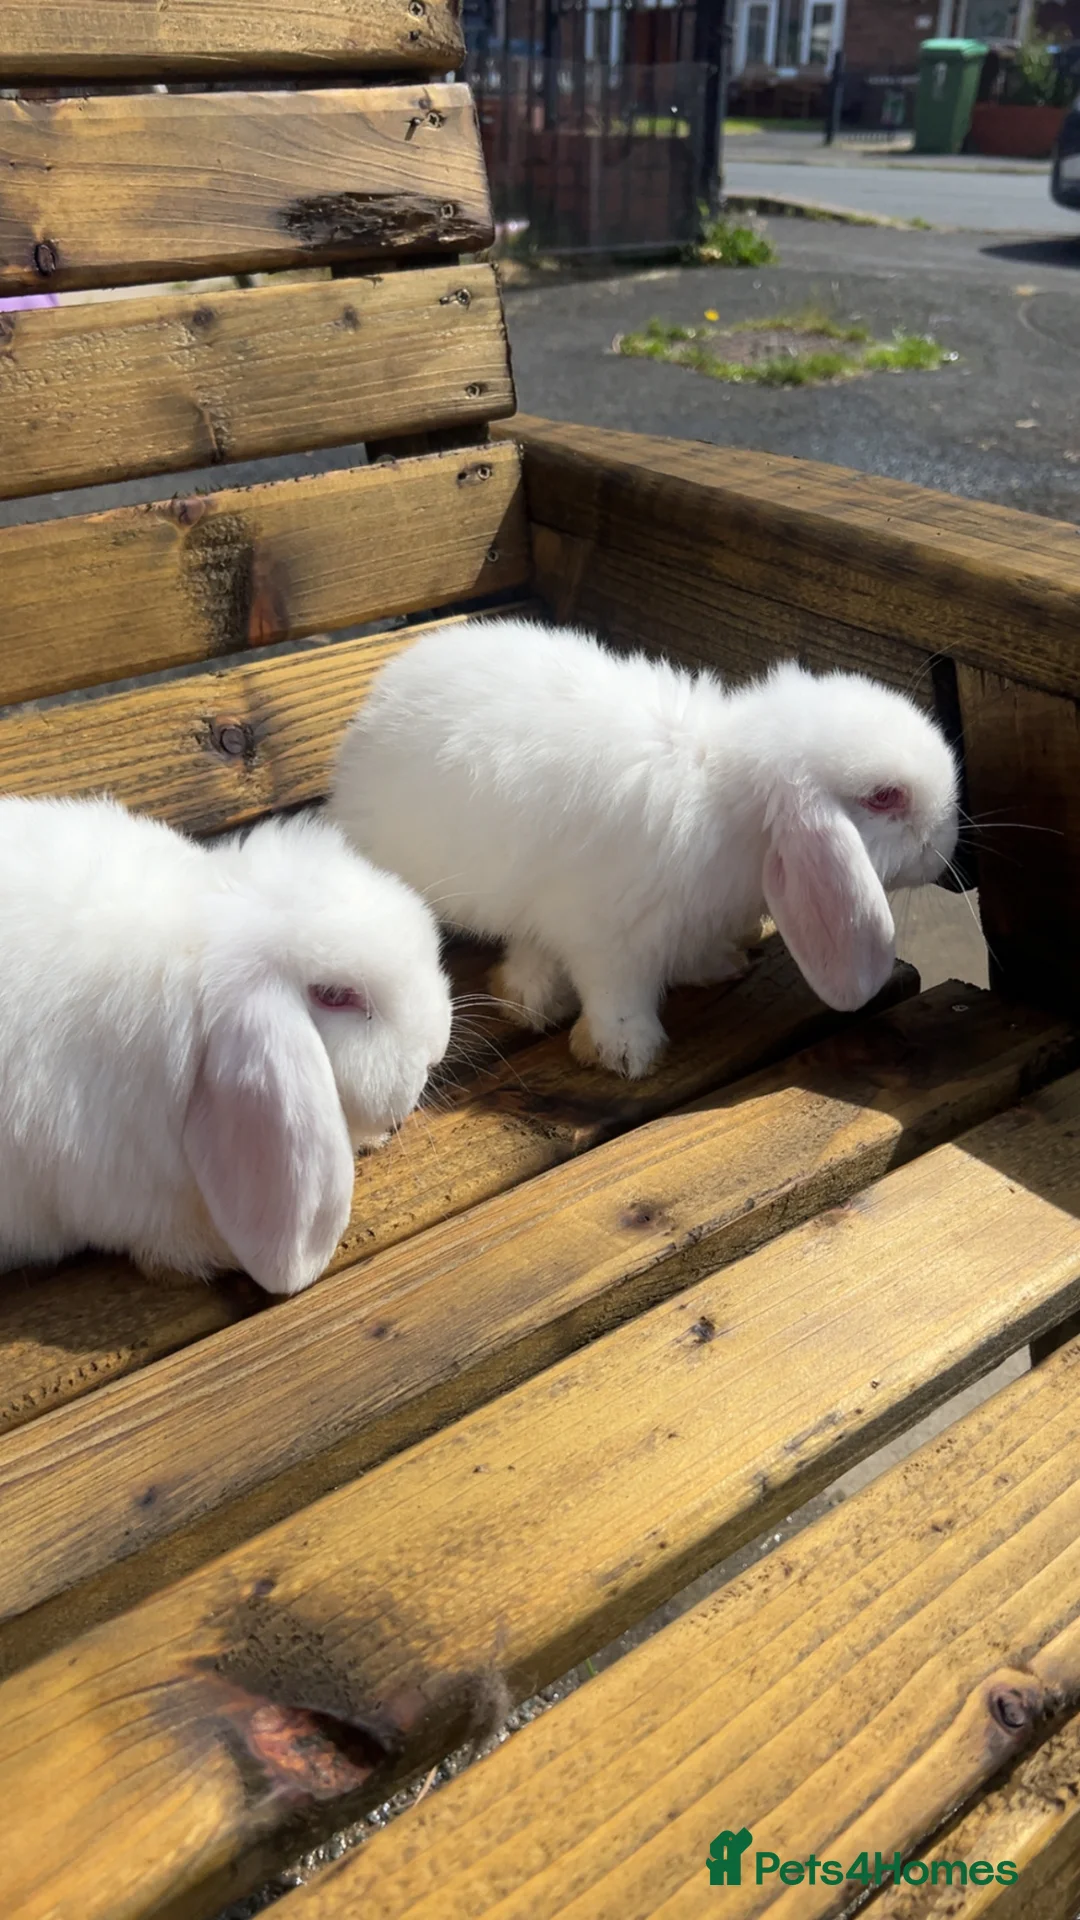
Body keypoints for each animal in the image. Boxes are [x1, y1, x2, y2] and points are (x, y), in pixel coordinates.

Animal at [327, 617, 959, 1080]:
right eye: (885, 797)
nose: (946, 845)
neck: (726, 798)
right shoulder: (607, 935)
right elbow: (616, 994)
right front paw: (627, 1055)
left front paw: (717, 966)